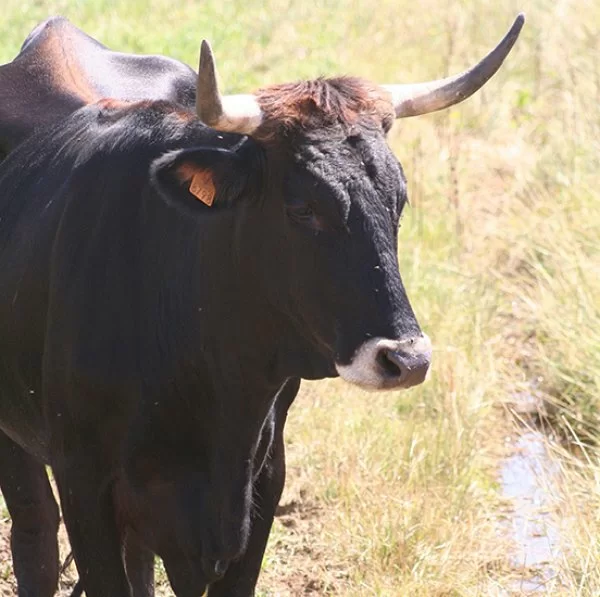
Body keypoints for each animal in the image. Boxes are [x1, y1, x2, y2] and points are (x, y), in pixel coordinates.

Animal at [0, 12, 524, 596]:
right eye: (302, 208)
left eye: (399, 200)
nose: (406, 360)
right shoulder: (84, 481)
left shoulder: (264, 477)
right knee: (35, 530)